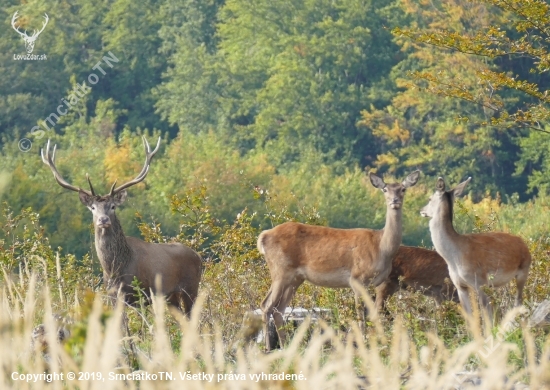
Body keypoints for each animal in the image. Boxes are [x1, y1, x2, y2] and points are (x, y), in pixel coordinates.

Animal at [41, 137, 203, 314]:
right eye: (93, 208)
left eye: (113, 206)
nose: (103, 220)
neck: (115, 268)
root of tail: (198, 256)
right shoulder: (113, 295)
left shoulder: (141, 294)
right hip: (172, 297)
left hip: (191, 287)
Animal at [260, 171, 420, 350]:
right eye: (385, 189)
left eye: (403, 189)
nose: (395, 201)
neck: (382, 248)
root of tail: (263, 236)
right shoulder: (357, 278)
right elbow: (360, 313)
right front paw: (363, 342)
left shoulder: (374, 282)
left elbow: (372, 313)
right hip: (280, 270)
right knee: (266, 305)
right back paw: (268, 348)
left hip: (295, 278)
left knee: (278, 309)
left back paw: (287, 346)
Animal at [420, 177, 532, 320]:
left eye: (429, 198)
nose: (421, 210)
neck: (453, 258)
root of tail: (524, 244)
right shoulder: (460, 286)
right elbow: (469, 317)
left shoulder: (480, 282)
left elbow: (487, 315)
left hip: (524, 270)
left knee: (518, 302)